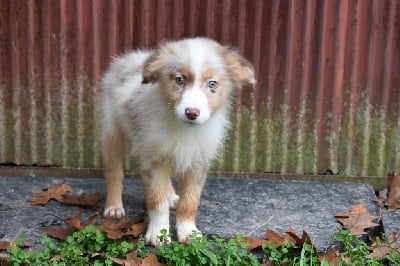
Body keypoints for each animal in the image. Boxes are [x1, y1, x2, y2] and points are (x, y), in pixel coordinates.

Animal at [100, 37, 256, 245]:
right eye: (179, 80)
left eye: (212, 84)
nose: (192, 113)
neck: (184, 129)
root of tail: (133, 56)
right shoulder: (152, 159)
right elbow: (156, 201)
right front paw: (158, 233)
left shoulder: (197, 162)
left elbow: (190, 201)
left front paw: (188, 231)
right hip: (112, 131)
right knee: (114, 171)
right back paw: (114, 206)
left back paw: (171, 196)